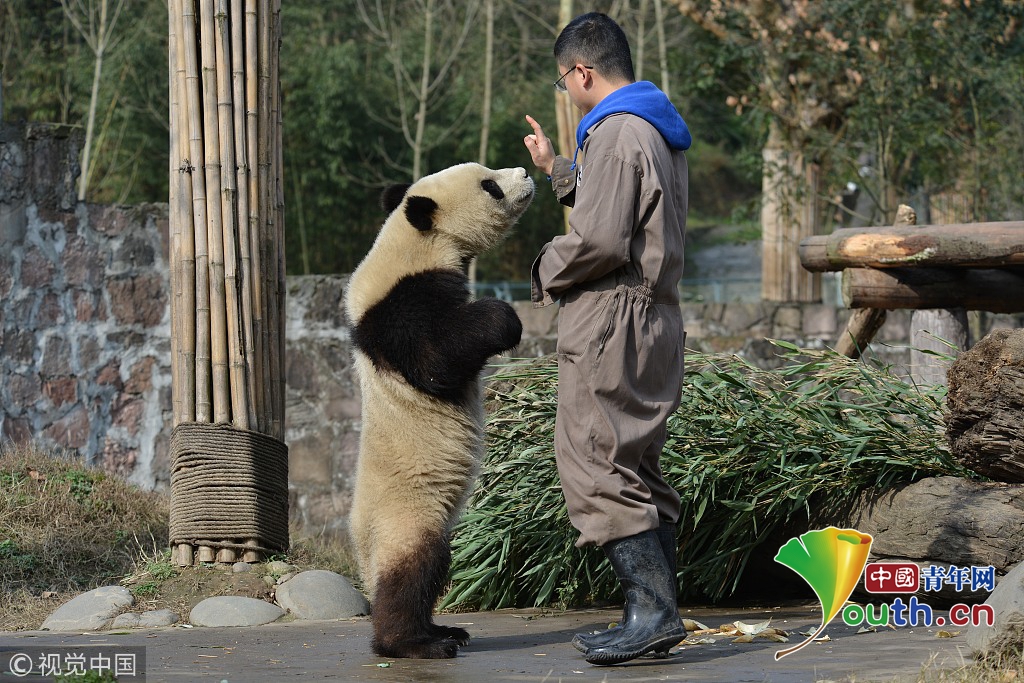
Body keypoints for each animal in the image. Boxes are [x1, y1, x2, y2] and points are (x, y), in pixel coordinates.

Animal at [346, 162, 536, 659]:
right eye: (490, 186)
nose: (525, 172)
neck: (414, 241)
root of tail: (360, 551)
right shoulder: (399, 307)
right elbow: (435, 359)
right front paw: (504, 317)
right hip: (407, 514)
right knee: (414, 569)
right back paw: (412, 643)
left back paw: (444, 630)